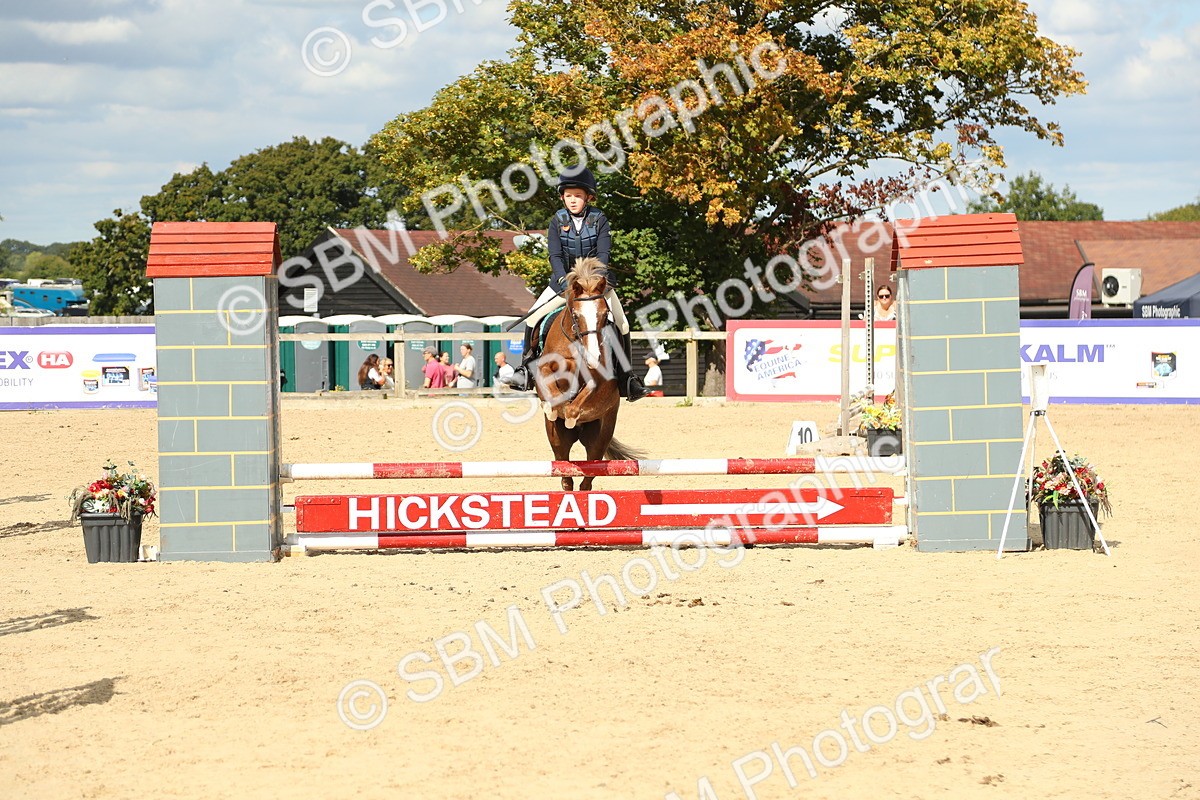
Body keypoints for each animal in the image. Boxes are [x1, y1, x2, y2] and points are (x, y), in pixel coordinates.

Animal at [535, 257, 642, 491]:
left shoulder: (600, 379)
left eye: (604, 316)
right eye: (576, 315)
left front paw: (569, 415)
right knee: (565, 473)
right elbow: (552, 390)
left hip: (599, 437)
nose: (593, 356)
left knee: (587, 478)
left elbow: (580, 400)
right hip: (557, 440)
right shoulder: (544, 368)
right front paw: (554, 408)